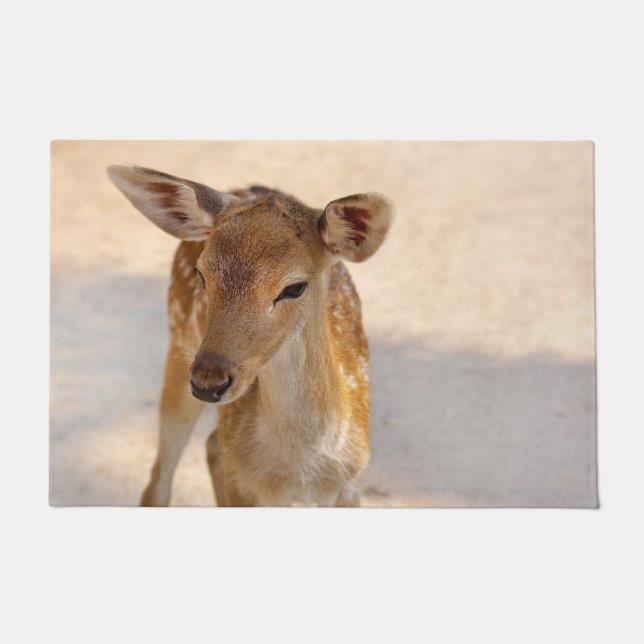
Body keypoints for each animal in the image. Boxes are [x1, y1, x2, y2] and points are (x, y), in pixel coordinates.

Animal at [107, 164, 394, 507]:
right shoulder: (244, 486)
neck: (297, 473)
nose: (208, 383)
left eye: (294, 287)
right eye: (201, 274)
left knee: (212, 445)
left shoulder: (349, 486)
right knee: (160, 480)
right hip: (178, 345)